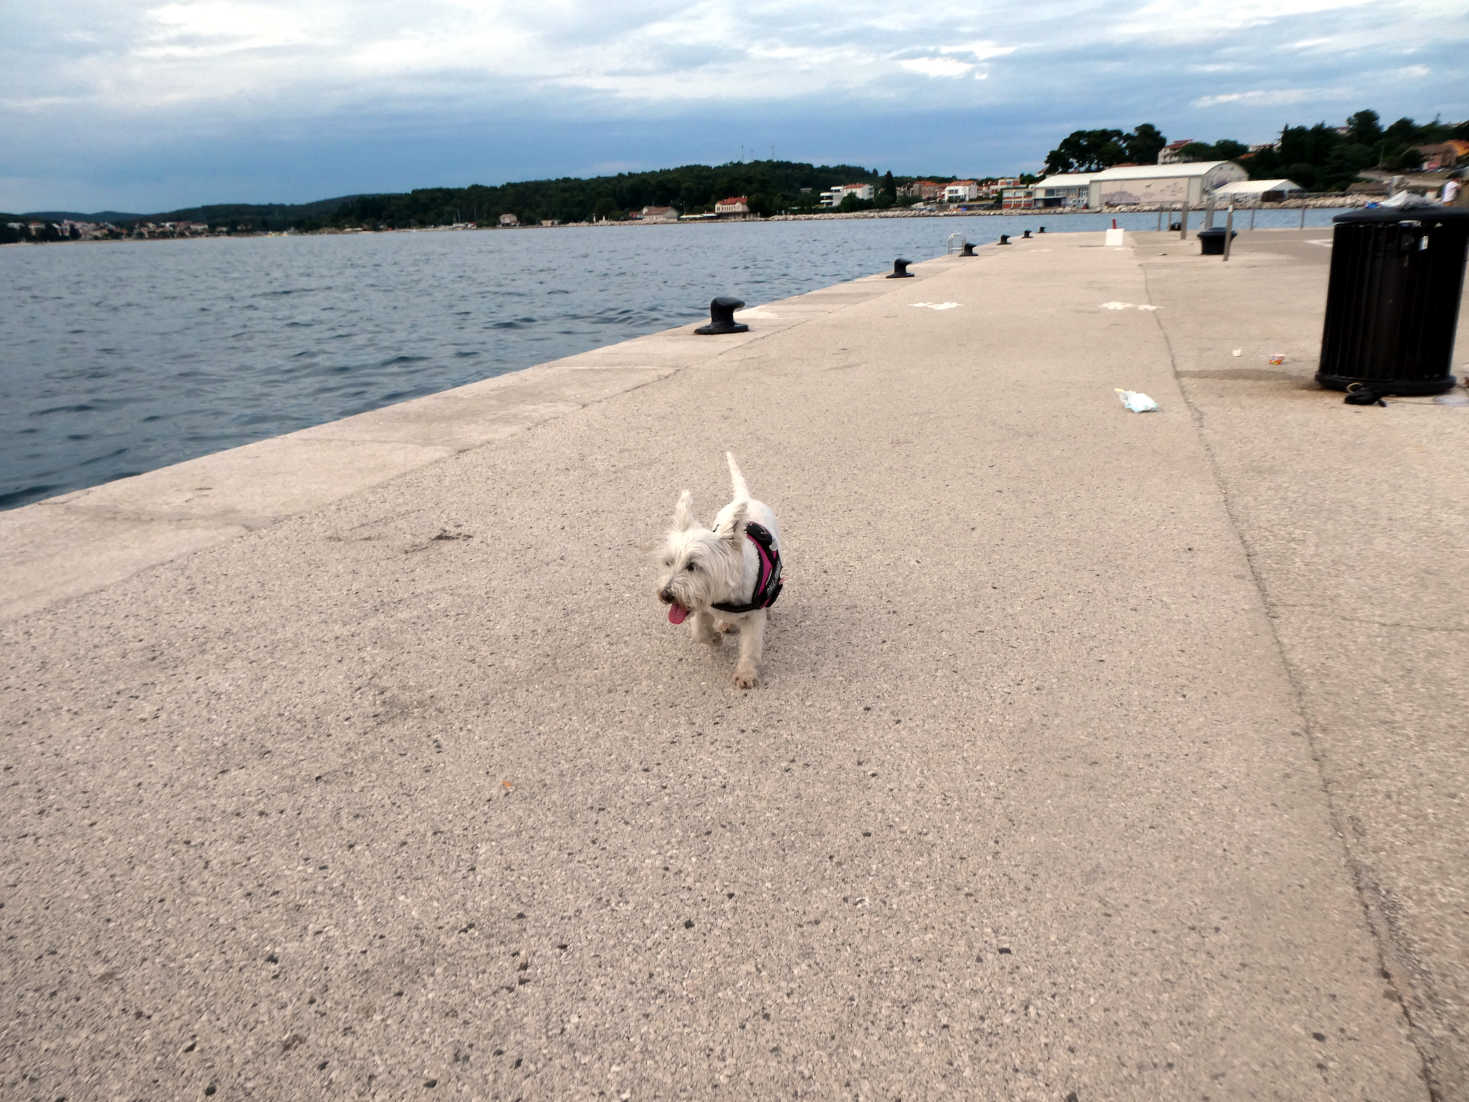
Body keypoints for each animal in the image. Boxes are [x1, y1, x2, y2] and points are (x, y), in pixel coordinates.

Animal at [658, 452, 781, 687]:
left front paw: (745, 674)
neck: (724, 594)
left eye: (692, 566)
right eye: (668, 563)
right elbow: (698, 632)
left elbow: (750, 647)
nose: (666, 595)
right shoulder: (703, 607)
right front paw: (714, 638)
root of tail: (747, 499)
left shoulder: (754, 619)